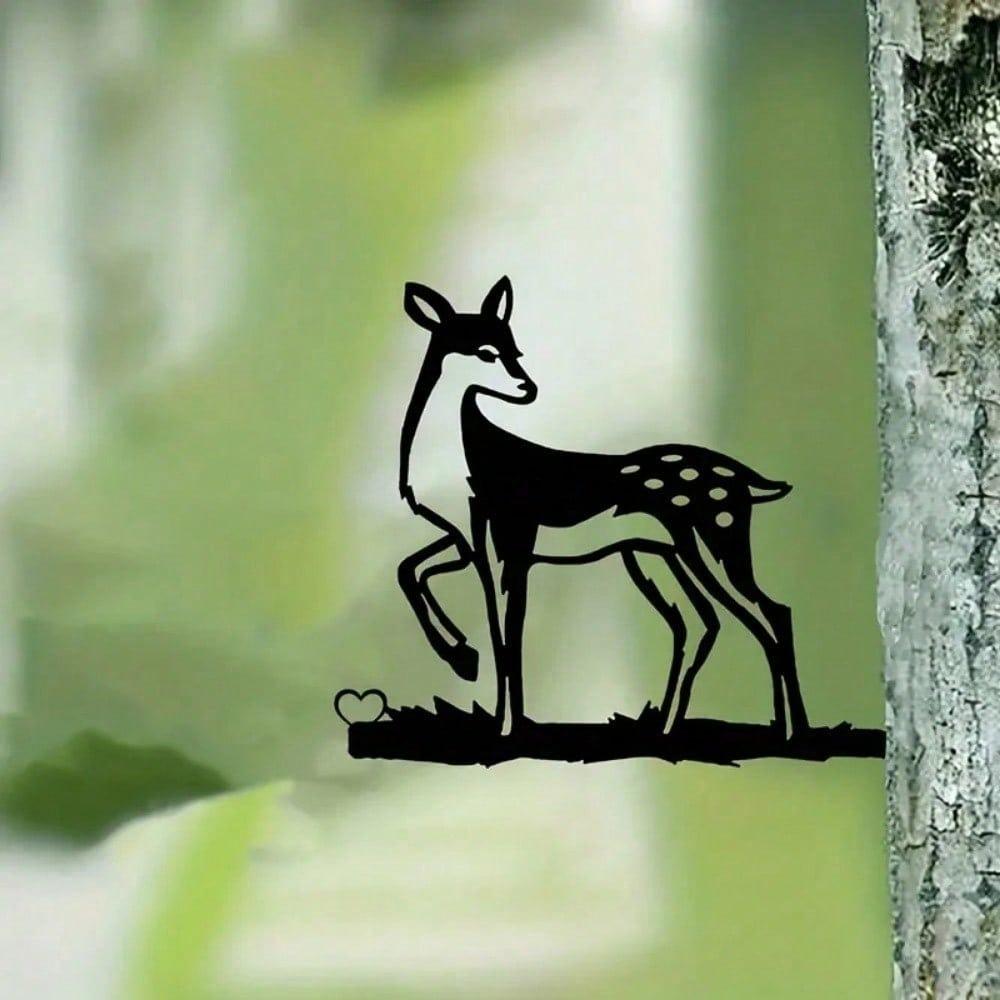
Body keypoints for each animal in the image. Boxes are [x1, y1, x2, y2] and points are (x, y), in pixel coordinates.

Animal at [397, 276, 810, 739]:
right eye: (486, 352)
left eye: (515, 351)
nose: (528, 388)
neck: (474, 463)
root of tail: (748, 480)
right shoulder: (469, 536)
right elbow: (412, 571)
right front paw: (463, 658)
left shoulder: (513, 534)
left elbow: (507, 631)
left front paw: (504, 724)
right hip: (656, 554)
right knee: (700, 621)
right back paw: (668, 726)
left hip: (713, 536)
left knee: (771, 612)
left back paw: (792, 731)